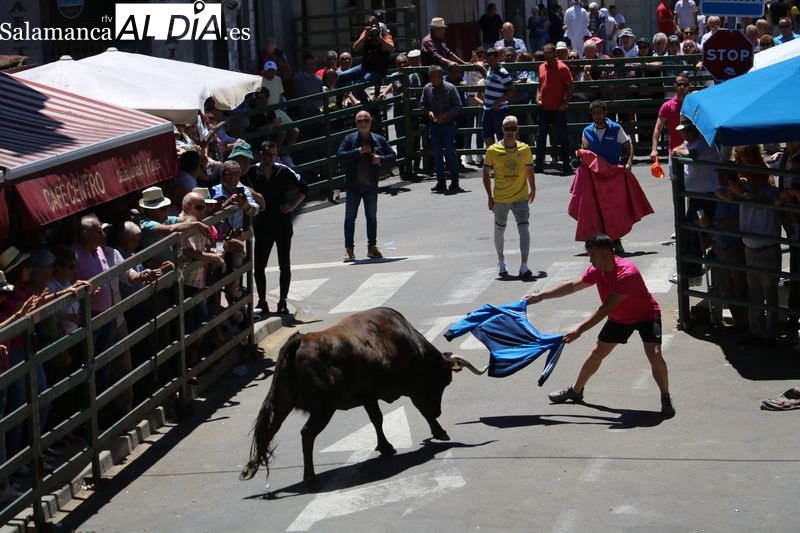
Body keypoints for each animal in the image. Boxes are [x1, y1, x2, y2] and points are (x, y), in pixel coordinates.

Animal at [241, 306, 484, 484]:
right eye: (445, 381)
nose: (439, 410)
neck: (409, 342)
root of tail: (300, 339)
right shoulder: (413, 388)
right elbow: (422, 409)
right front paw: (440, 431)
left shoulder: (369, 397)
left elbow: (377, 418)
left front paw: (385, 447)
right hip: (323, 409)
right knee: (306, 434)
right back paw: (309, 476)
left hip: (283, 402)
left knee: (267, 430)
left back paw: (251, 467)